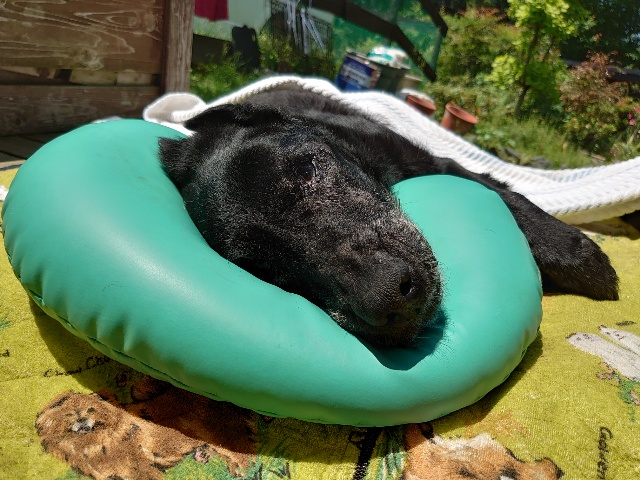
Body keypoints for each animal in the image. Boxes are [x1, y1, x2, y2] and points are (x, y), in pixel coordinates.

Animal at [159, 89, 618, 348]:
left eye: (306, 168)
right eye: (264, 271)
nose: (388, 300)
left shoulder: (435, 162)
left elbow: (515, 200)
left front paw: (585, 261)